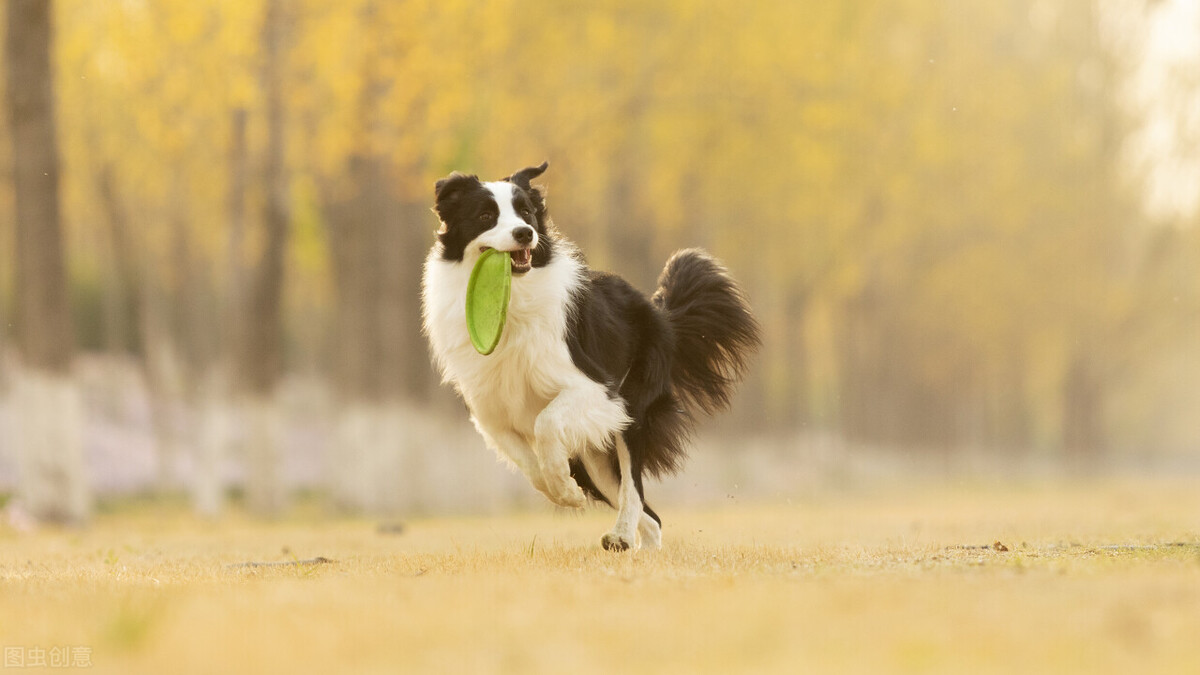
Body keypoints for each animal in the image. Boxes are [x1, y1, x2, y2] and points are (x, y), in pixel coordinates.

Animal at [422, 159, 758, 550]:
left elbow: (546, 423)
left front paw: (564, 488)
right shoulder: (490, 412)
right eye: (486, 215)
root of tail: (661, 315)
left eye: (527, 212)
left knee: (634, 490)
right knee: (649, 514)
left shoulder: (595, 387)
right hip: (596, 452)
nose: (524, 234)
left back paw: (622, 535)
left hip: (629, 411)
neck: (515, 300)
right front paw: (563, 490)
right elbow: (528, 462)